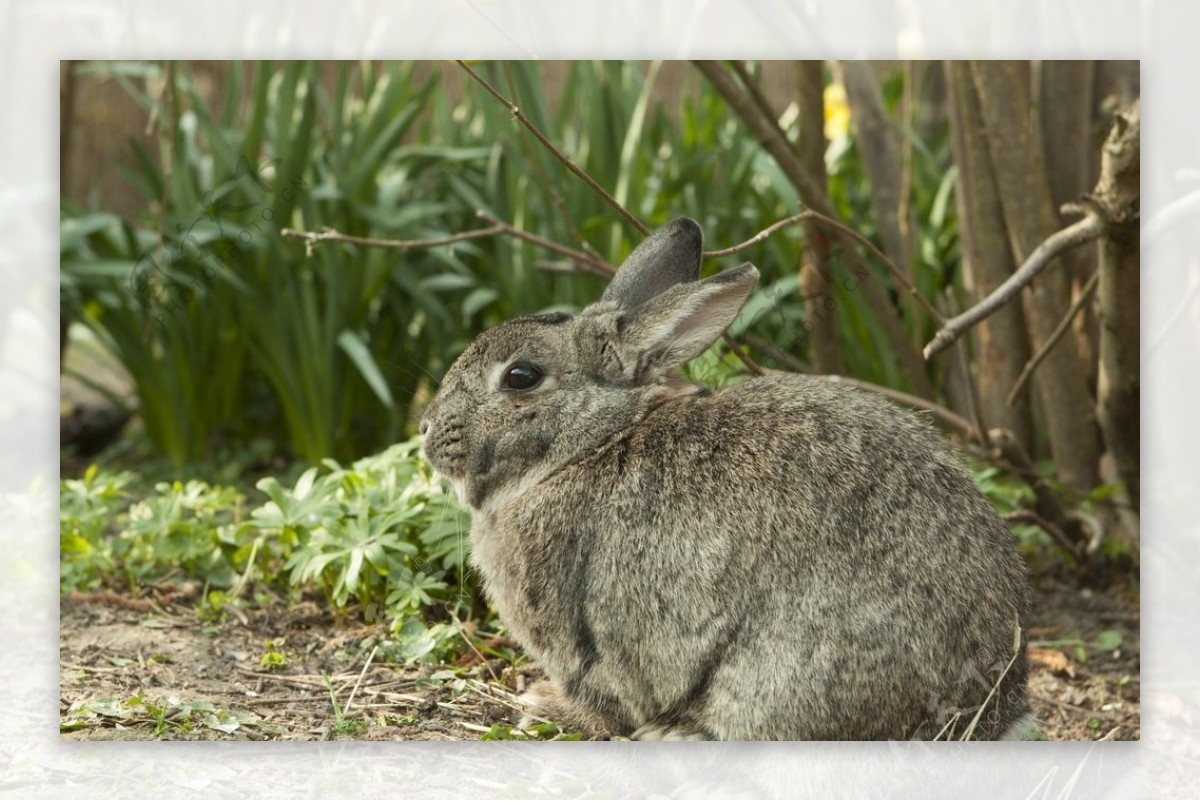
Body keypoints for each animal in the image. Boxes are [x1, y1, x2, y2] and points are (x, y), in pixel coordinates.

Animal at [420, 217, 1032, 738]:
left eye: (521, 377)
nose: (426, 428)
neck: (595, 441)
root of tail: (990, 711)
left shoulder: (583, 641)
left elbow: (605, 700)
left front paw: (544, 705)